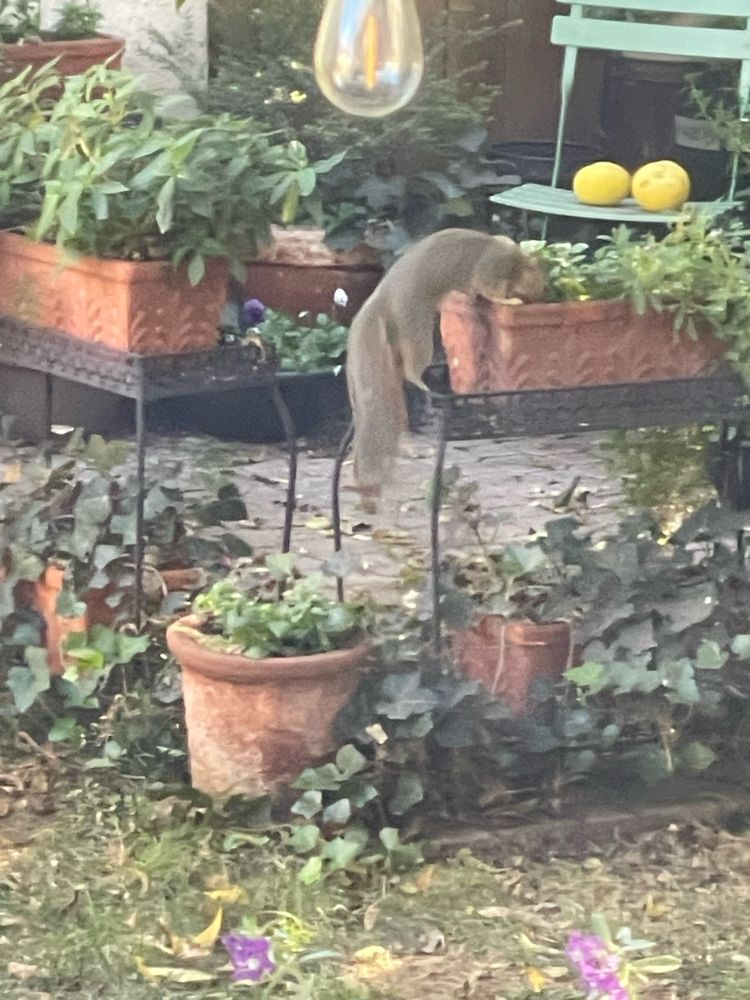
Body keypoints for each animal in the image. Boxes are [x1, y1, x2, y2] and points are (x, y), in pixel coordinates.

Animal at [346, 228, 545, 499]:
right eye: (537, 287)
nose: (540, 299)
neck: (516, 259)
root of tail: (383, 296)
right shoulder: (492, 268)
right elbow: (490, 290)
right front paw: (510, 302)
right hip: (416, 326)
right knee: (410, 368)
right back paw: (423, 384)